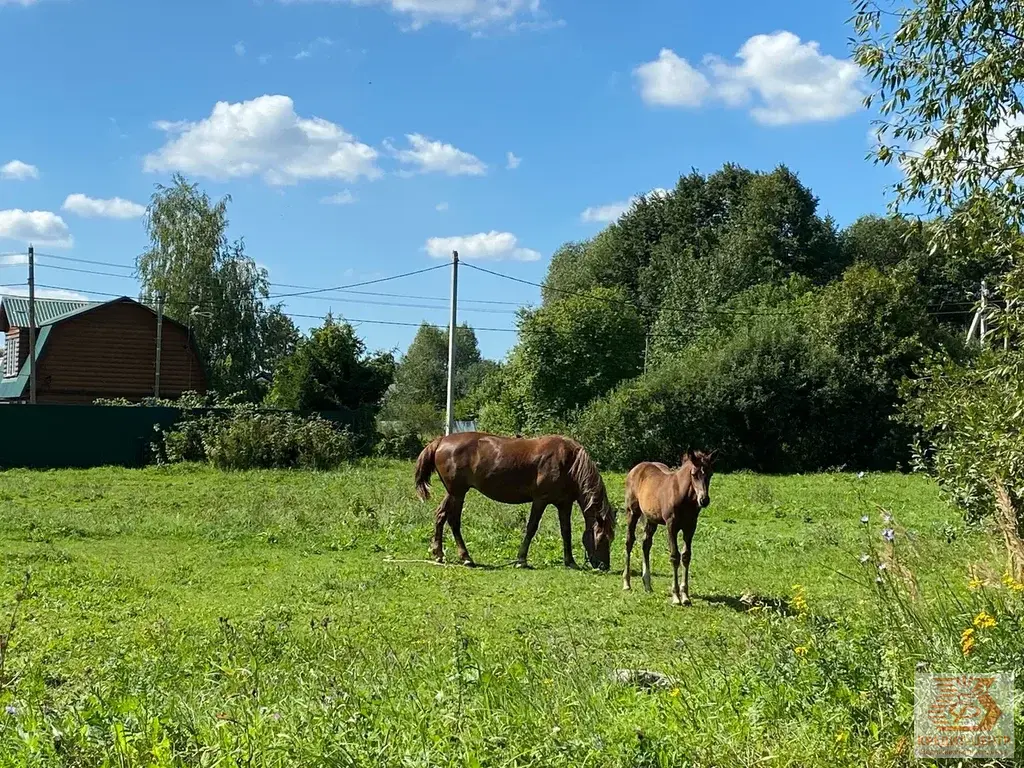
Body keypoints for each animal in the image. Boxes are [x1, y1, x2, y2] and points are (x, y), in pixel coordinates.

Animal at [413, 434, 614, 573]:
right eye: (602, 538)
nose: (604, 566)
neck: (569, 462)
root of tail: (440, 441)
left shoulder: (564, 504)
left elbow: (566, 531)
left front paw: (570, 561)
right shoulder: (540, 500)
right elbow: (531, 528)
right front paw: (521, 560)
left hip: (454, 493)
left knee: (441, 515)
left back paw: (440, 554)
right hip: (458, 493)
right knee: (452, 520)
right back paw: (464, 557)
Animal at [618, 450, 716, 606]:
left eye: (710, 474)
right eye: (694, 474)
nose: (704, 500)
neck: (682, 495)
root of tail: (636, 469)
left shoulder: (690, 527)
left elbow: (686, 556)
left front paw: (685, 596)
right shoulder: (671, 526)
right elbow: (675, 556)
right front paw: (676, 597)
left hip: (651, 519)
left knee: (646, 544)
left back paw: (647, 584)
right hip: (632, 512)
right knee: (629, 541)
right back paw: (627, 583)